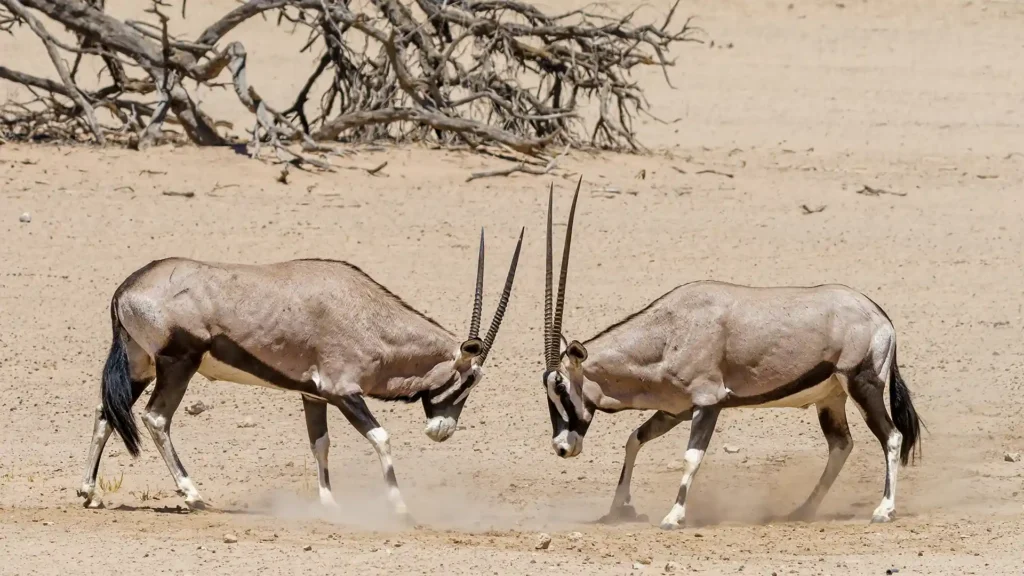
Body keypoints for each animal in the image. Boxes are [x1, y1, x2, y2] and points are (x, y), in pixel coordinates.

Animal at [78, 228, 524, 520]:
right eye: (469, 380)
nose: (441, 431)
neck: (370, 317)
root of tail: (127, 287)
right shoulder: (343, 391)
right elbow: (381, 437)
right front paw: (398, 506)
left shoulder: (314, 394)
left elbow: (320, 444)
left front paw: (329, 504)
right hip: (177, 365)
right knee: (156, 418)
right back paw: (193, 495)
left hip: (140, 364)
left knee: (106, 412)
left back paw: (88, 492)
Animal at [540, 178, 925, 524]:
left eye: (561, 388)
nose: (561, 448)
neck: (668, 332)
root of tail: (880, 315)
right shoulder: (675, 409)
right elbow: (634, 440)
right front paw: (618, 510)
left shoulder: (708, 403)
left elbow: (691, 457)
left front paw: (674, 515)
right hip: (830, 398)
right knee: (841, 445)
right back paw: (802, 511)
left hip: (862, 384)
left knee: (892, 437)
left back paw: (883, 510)